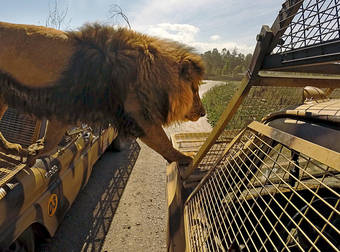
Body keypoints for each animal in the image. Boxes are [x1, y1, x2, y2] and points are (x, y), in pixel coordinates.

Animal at [0, 21, 205, 165]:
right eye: (195, 89)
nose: (203, 113)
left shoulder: (64, 109)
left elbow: (52, 138)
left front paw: (34, 150)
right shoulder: (138, 115)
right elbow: (163, 142)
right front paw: (186, 157)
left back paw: (11, 148)